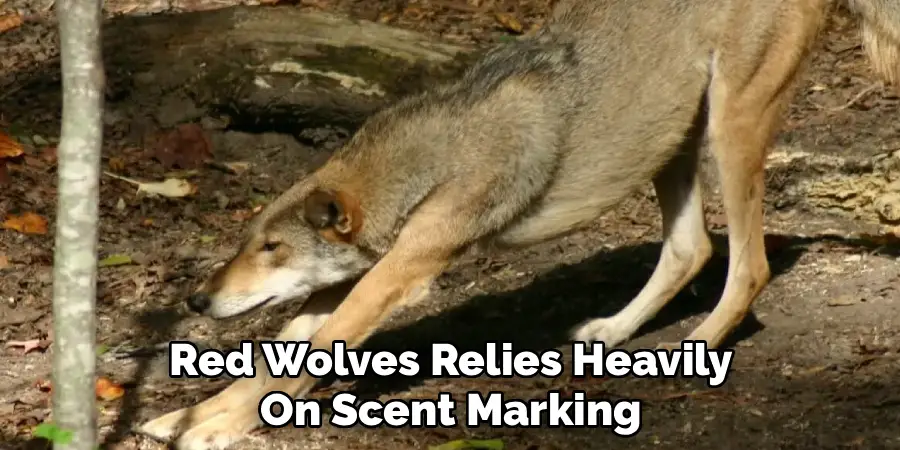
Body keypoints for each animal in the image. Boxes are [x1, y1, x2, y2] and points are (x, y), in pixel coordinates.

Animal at [138, 0, 900, 448]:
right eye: (248, 244)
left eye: (271, 247)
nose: (195, 300)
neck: (431, 160)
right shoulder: (351, 281)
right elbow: (273, 362)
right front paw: (188, 417)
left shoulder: (402, 272)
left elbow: (303, 361)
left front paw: (219, 430)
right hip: (668, 142)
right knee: (691, 250)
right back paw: (615, 335)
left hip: (728, 129)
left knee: (749, 265)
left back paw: (700, 345)